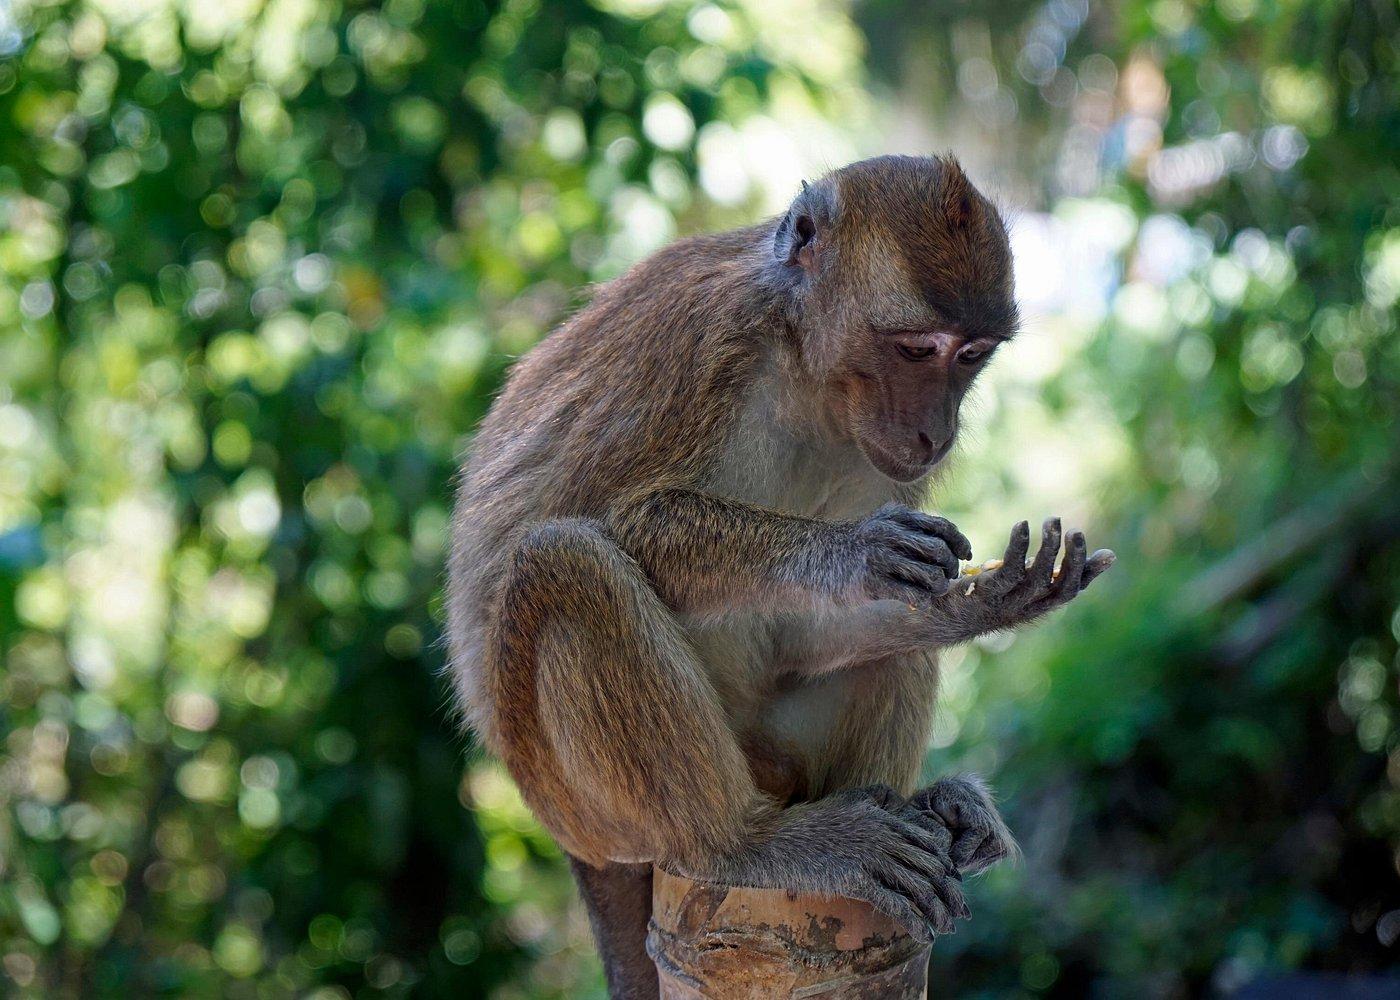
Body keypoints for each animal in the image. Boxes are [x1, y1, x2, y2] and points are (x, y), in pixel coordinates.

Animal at [446, 154, 1115, 998]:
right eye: (915, 349)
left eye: (971, 355)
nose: (936, 433)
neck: (804, 366)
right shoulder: (705, 339)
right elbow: (609, 513)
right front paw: (850, 553)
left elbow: (834, 620)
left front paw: (985, 600)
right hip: (576, 798)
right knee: (562, 561)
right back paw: (743, 843)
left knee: (888, 645)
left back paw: (924, 807)